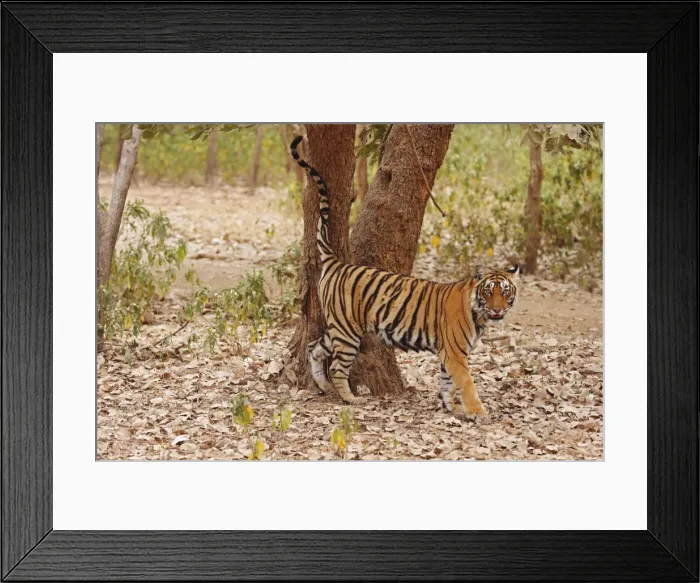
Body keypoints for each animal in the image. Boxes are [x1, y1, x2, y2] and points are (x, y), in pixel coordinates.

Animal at [290, 135, 519, 418]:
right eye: (489, 291)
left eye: (505, 292)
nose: (498, 310)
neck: (478, 314)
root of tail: (337, 263)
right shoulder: (455, 352)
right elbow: (466, 382)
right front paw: (477, 412)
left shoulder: (448, 353)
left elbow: (448, 383)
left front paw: (451, 407)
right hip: (347, 331)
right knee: (336, 366)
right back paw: (350, 399)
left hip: (337, 327)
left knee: (314, 348)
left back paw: (324, 387)